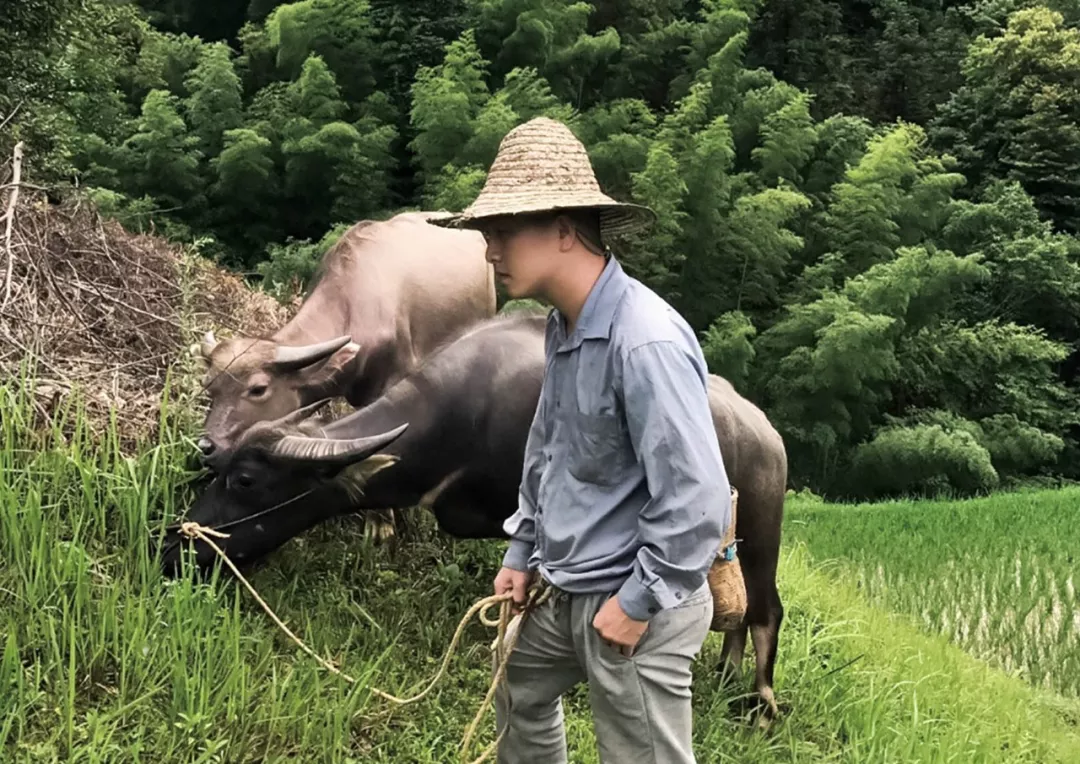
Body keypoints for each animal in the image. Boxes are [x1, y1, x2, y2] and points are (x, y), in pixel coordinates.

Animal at [157, 309, 786, 717]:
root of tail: (769, 437)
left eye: (246, 480)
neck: (465, 413)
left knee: (765, 612)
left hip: (762, 537)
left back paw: (761, 701)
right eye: (218, 469)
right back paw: (726, 673)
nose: (174, 546)